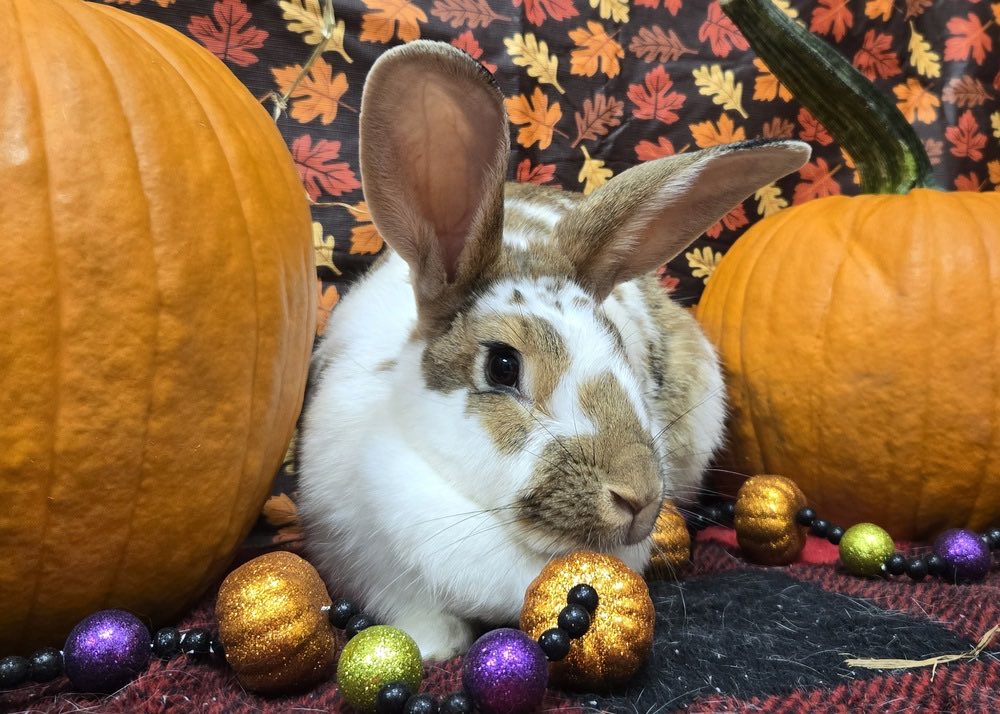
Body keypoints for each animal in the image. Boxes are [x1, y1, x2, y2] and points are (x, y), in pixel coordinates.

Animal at [297, 39, 810, 660]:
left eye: (619, 348)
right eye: (502, 366)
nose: (639, 498)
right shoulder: (359, 552)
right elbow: (416, 611)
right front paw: (434, 648)